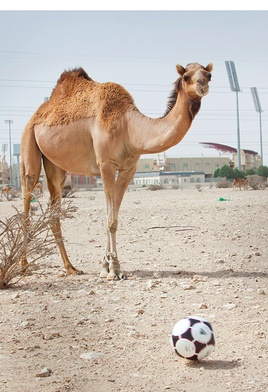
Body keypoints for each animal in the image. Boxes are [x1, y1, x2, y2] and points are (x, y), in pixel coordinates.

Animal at [19, 62, 213, 278]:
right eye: (186, 76)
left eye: (209, 75)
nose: (202, 84)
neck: (130, 127)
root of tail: (38, 114)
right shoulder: (106, 164)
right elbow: (110, 219)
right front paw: (112, 269)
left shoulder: (129, 168)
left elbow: (113, 218)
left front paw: (108, 265)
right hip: (28, 141)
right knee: (27, 192)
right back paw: (23, 265)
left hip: (56, 167)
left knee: (54, 209)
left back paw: (70, 267)